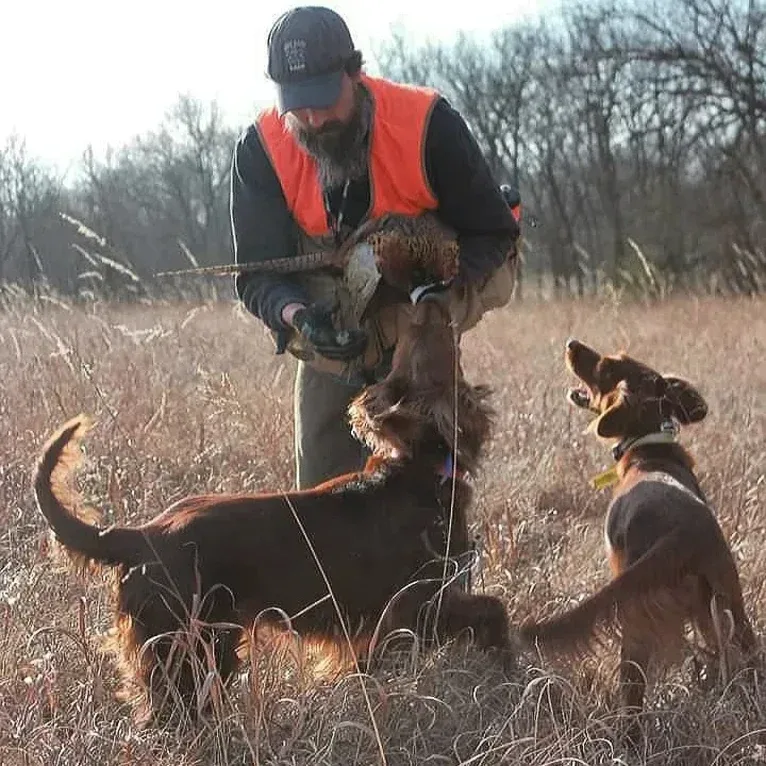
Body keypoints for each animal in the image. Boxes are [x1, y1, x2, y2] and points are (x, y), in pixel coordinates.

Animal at [37, 292, 516, 728]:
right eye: (423, 346)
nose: (427, 297)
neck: (415, 466)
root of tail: (143, 536)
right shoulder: (417, 606)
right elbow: (493, 610)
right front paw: (510, 668)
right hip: (193, 642)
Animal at [520, 340, 760, 740]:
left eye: (604, 367)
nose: (572, 344)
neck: (650, 449)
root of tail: (681, 531)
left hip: (634, 615)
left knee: (632, 691)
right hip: (730, 599)